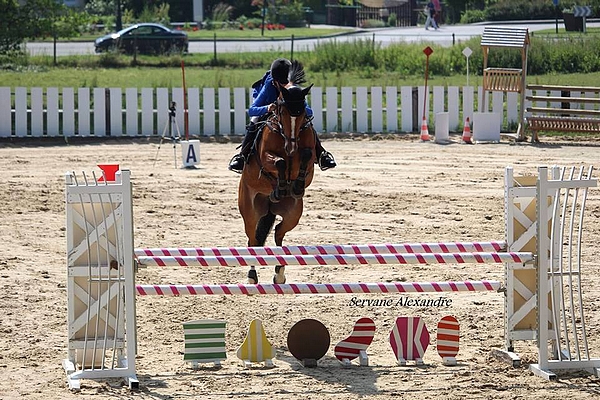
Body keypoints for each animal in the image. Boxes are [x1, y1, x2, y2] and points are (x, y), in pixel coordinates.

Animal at [237, 60, 316, 284]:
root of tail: (270, 206)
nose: (291, 147)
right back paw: (252, 276)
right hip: (250, 210)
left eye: (302, 115)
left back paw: (279, 273)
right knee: (253, 239)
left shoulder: (309, 157)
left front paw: (295, 186)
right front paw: (281, 186)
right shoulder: (266, 158)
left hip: (293, 213)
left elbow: (307, 155)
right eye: (282, 112)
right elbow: (279, 161)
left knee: (279, 234)